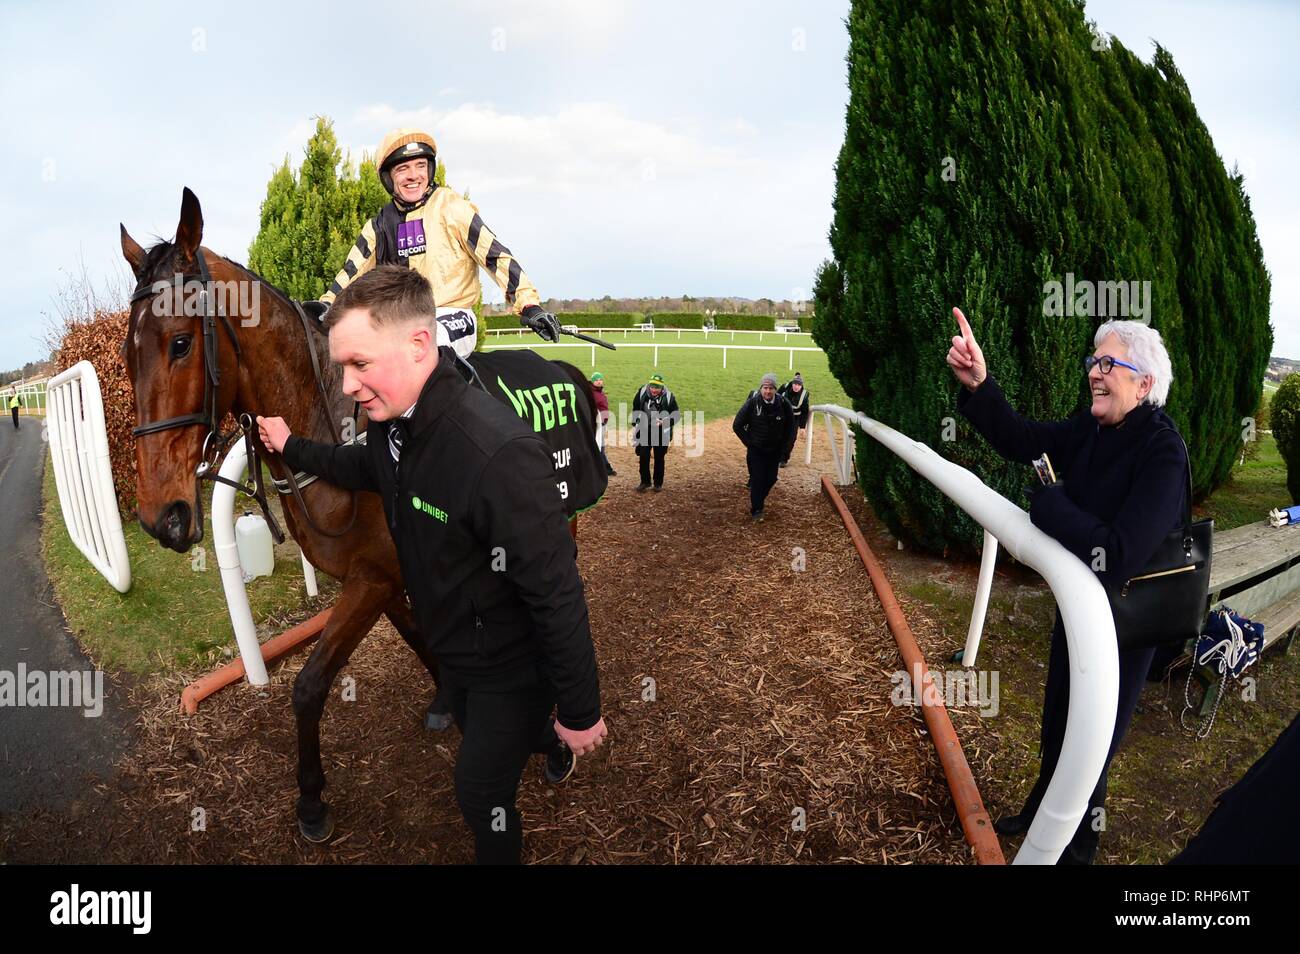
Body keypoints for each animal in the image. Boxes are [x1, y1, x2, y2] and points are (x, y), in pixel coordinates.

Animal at [122, 187, 603, 842]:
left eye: (179, 342)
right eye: (126, 353)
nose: (160, 516)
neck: (337, 417)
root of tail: (567, 371)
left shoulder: (371, 578)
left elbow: (308, 686)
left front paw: (311, 800)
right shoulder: (386, 575)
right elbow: (425, 639)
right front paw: (450, 702)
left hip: (559, 519)